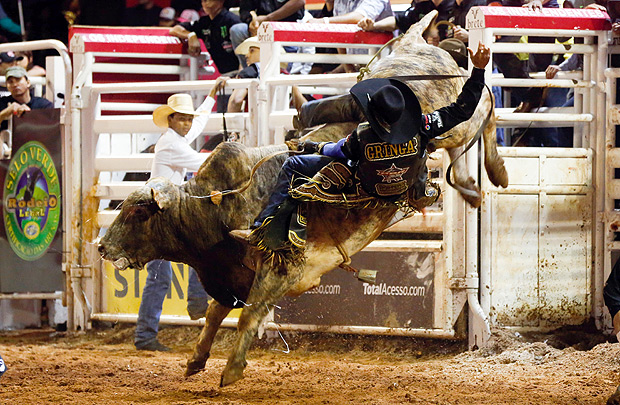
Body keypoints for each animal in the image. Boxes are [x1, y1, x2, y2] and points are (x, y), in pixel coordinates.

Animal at [99, 11, 508, 386]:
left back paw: (496, 170)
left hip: (454, 125)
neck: (216, 209)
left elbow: (248, 316)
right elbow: (216, 314)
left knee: (484, 111)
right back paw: (469, 187)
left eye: (138, 211)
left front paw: (231, 371)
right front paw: (196, 360)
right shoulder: (230, 279)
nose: (102, 247)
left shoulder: (281, 271)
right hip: (439, 128)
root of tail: (418, 46)